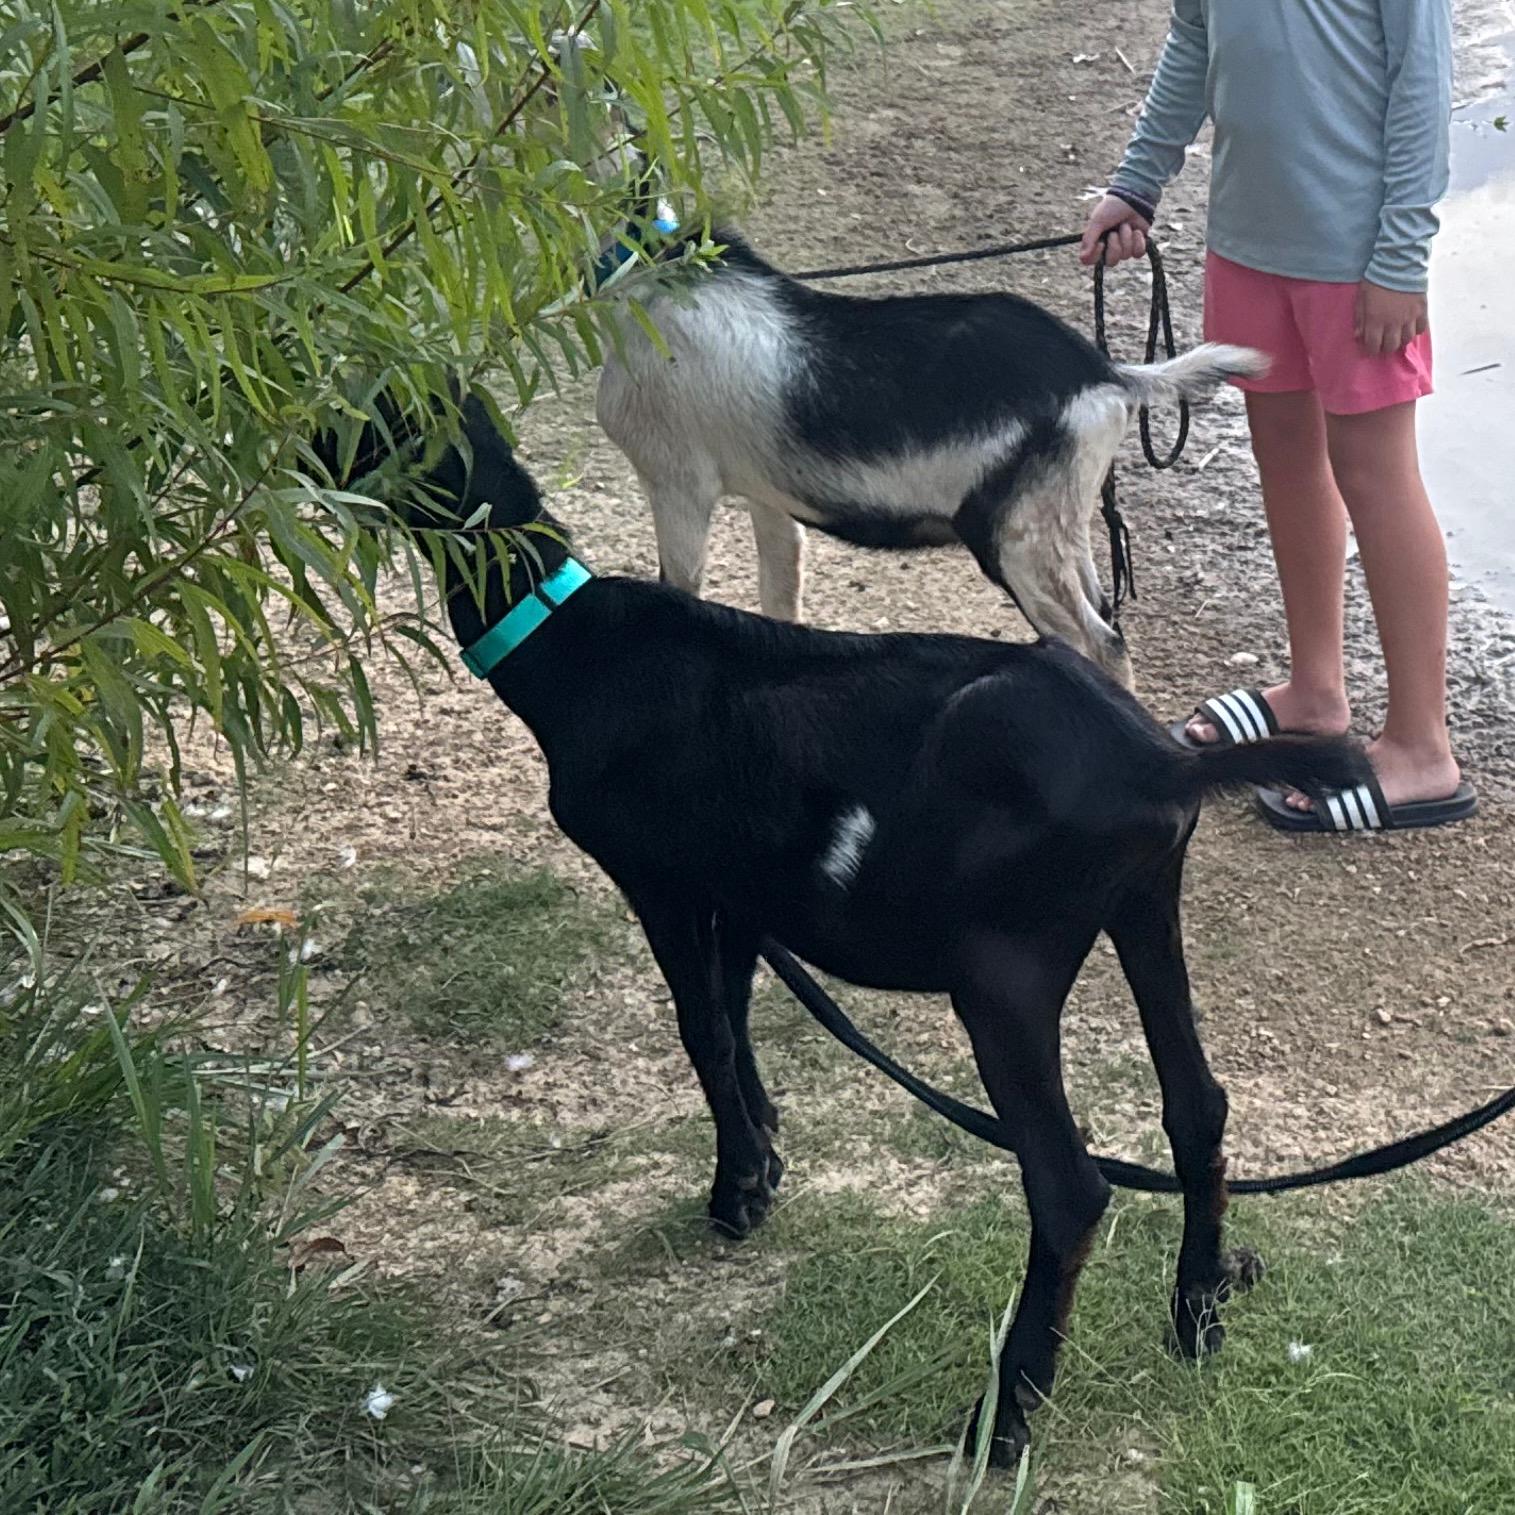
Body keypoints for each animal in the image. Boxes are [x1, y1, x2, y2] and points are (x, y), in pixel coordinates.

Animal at [331, 394, 1365, 1468]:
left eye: (349, 427)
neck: (567, 641)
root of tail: (1163, 764)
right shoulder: (739, 884)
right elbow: (735, 1011)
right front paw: (763, 1156)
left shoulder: (657, 875)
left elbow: (701, 1029)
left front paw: (734, 1190)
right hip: (1145, 906)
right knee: (1196, 1106)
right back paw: (1197, 1312)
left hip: (1006, 968)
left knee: (1068, 1185)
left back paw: (1006, 1409)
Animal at [595, 229, 1267, 691]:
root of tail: (1108, 377)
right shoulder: (768, 495)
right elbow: (781, 597)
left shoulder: (676, 482)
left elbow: (679, 589)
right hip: (1063, 526)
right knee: (1106, 620)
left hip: (1017, 540)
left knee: (1101, 645)